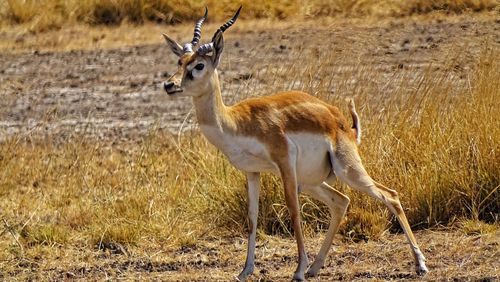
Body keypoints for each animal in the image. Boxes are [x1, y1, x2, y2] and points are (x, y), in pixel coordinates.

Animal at [162, 6, 428, 282]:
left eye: (199, 65)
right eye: (180, 62)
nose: (169, 85)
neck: (236, 121)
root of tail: (344, 124)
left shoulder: (284, 162)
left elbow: (293, 211)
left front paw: (297, 270)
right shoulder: (252, 172)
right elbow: (252, 218)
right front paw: (245, 271)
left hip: (347, 171)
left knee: (390, 195)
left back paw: (420, 264)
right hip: (313, 181)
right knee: (341, 201)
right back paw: (315, 267)